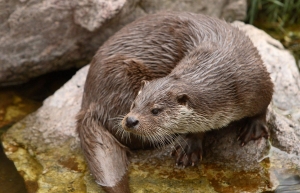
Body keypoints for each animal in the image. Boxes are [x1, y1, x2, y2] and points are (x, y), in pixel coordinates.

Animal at [76, 11, 274, 191]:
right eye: (134, 104)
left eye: (156, 110)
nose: (131, 120)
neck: (225, 74)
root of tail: (89, 102)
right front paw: (190, 147)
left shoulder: (258, 80)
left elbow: (264, 104)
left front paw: (254, 127)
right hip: (121, 78)